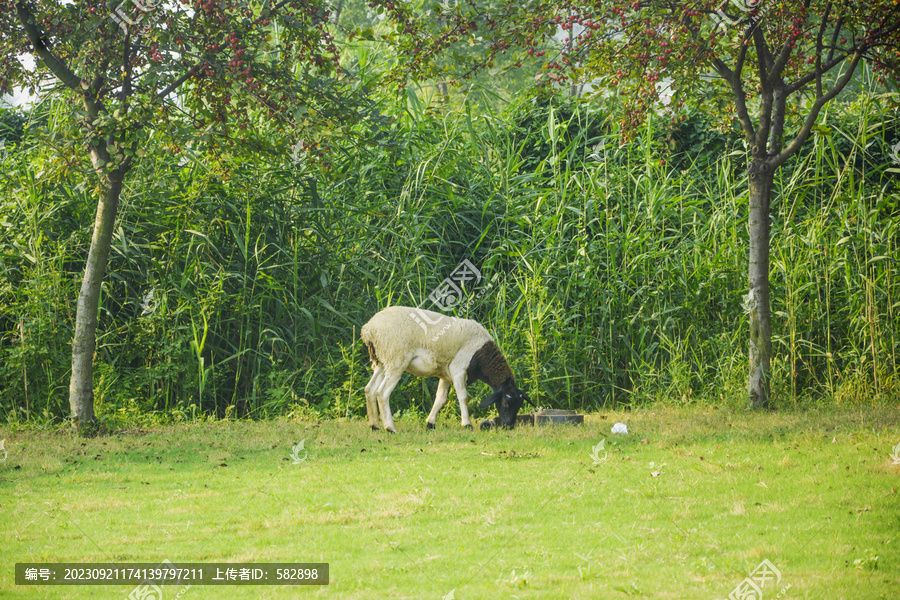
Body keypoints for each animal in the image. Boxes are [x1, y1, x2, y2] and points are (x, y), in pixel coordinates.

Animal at [358, 310, 532, 432]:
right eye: (505, 403)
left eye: (519, 405)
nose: (509, 426)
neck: (482, 353)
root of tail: (368, 329)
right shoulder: (458, 369)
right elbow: (463, 397)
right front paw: (467, 424)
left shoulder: (446, 375)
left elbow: (440, 399)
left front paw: (430, 424)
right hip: (396, 359)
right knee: (382, 393)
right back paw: (390, 428)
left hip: (382, 361)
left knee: (370, 389)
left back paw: (375, 425)